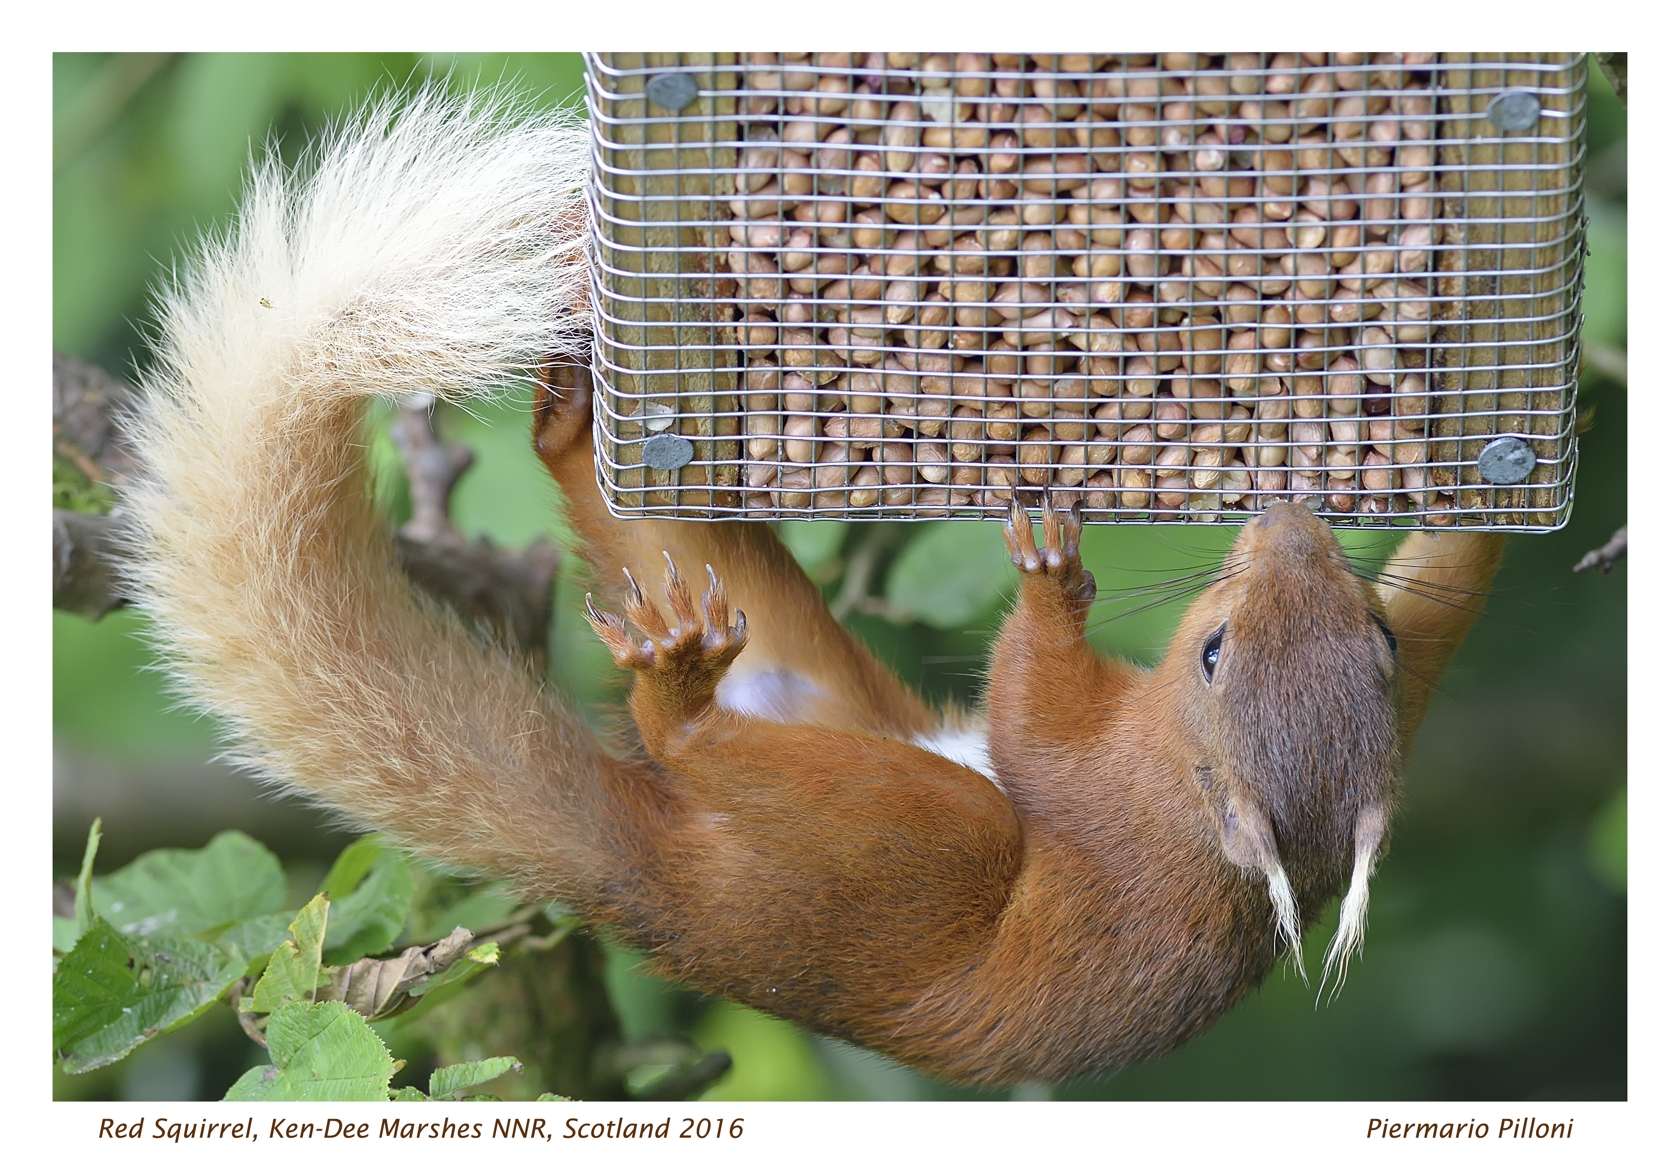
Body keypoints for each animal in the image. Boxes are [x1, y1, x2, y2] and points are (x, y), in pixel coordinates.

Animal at [120, 92, 1504, 1086]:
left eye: (1212, 656)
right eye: (1373, 641)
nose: (1287, 521)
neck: (1182, 781)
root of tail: (660, 886)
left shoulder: (1108, 808)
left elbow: (1034, 728)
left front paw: (1053, 577)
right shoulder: (1410, 686)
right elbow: (1452, 587)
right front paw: (1480, 495)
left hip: (905, 839)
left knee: (737, 756)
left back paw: (679, 695)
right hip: (796, 663)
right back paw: (577, 393)